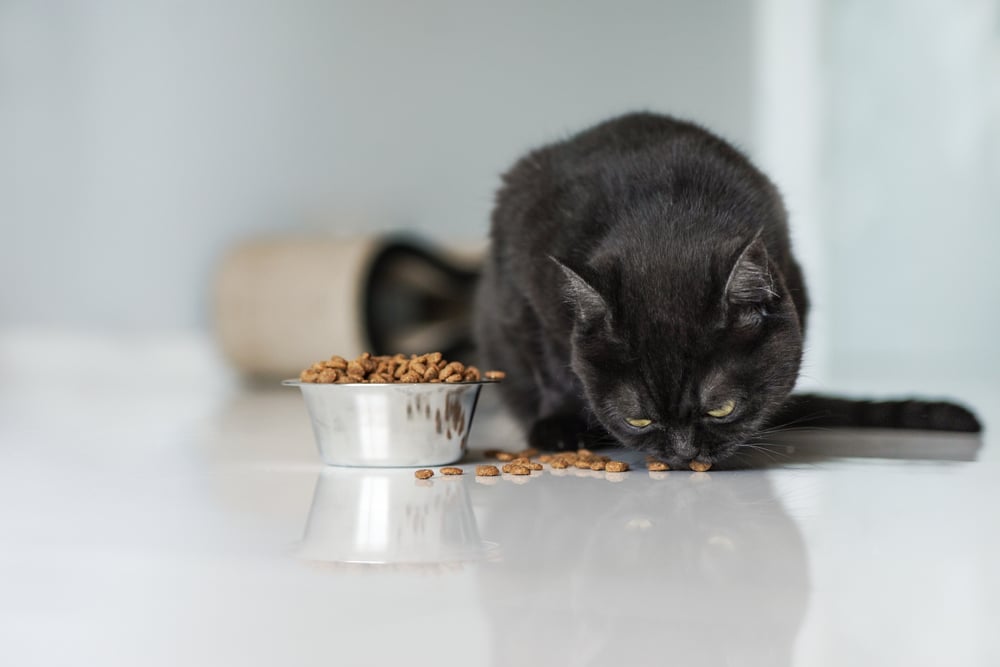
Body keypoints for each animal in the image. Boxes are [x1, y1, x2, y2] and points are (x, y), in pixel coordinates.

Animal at [472, 112, 980, 468]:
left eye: (721, 409)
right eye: (639, 418)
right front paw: (562, 427)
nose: (682, 454)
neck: (666, 216)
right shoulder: (521, 282)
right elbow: (550, 364)